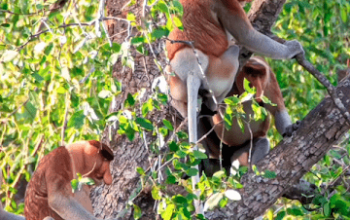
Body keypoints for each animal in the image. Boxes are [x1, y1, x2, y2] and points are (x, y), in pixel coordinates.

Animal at [165, 0, 304, 213]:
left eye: (257, 77)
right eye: (251, 76)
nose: (256, 90)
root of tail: (190, 69)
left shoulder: (268, 81)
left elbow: (277, 108)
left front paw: (289, 129)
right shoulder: (227, 4)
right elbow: (247, 36)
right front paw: (293, 48)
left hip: (176, 86)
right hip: (219, 70)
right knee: (233, 51)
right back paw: (212, 105)